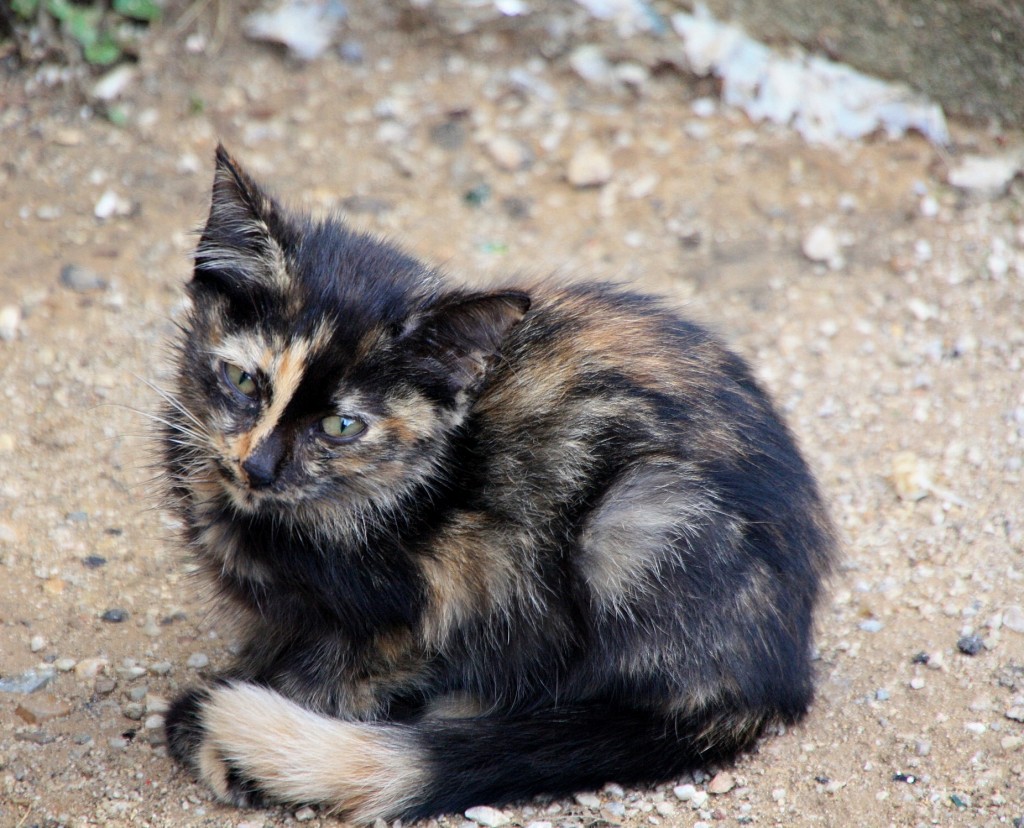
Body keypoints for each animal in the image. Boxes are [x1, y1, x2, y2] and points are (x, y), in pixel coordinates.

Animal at [157, 147, 831, 818]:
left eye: (341, 425)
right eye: (244, 381)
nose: (257, 467)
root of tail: (780, 676)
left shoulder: (444, 598)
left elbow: (339, 671)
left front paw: (221, 728)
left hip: (638, 518)